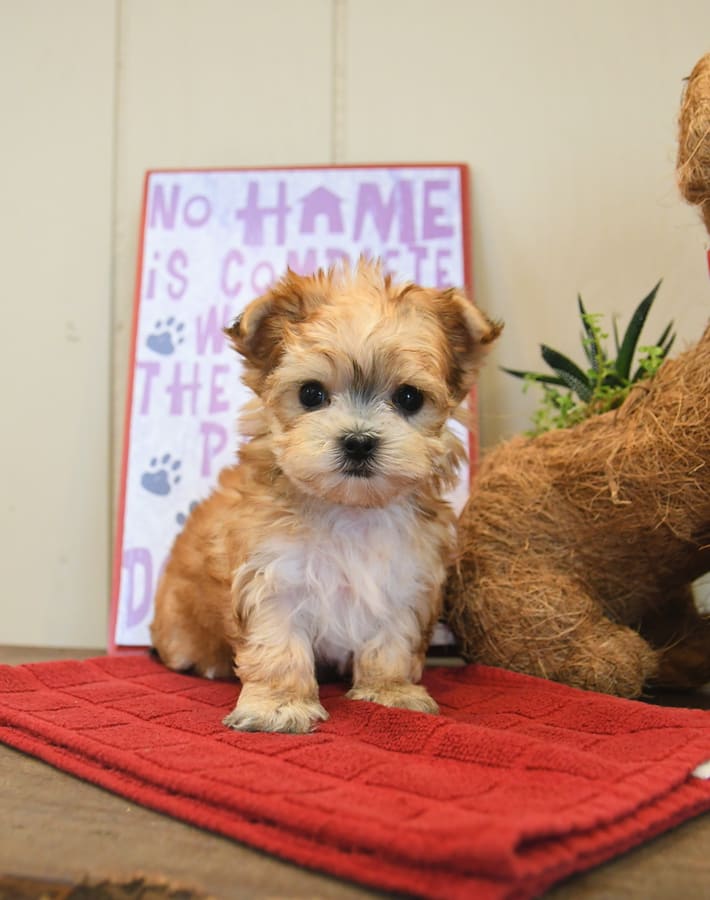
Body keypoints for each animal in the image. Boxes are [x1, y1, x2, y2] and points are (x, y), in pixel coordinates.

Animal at [150, 258, 500, 732]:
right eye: (311, 393)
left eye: (409, 398)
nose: (358, 441)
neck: (349, 508)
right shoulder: (273, 573)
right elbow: (278, 645)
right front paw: (279, 705)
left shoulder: (405, 578)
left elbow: (392, 642)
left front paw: (390, 691)